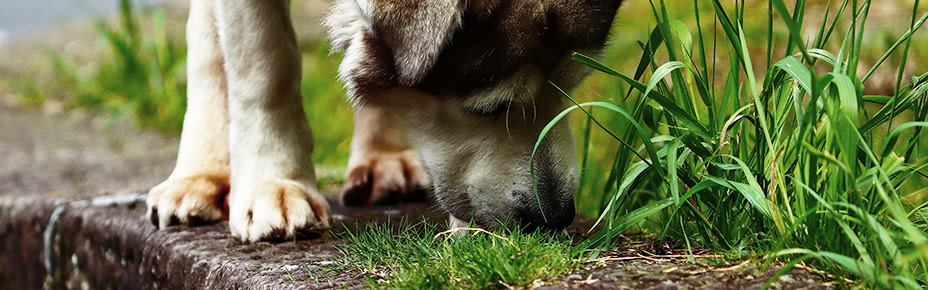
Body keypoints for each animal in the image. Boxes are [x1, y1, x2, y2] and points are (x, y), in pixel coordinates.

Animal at [145, 0, 620, 241]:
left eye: (573, 86)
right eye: (490, 108)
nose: (554, 216)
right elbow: (262, 61)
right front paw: (274, 181)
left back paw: (384, 160)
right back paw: (199, 175)